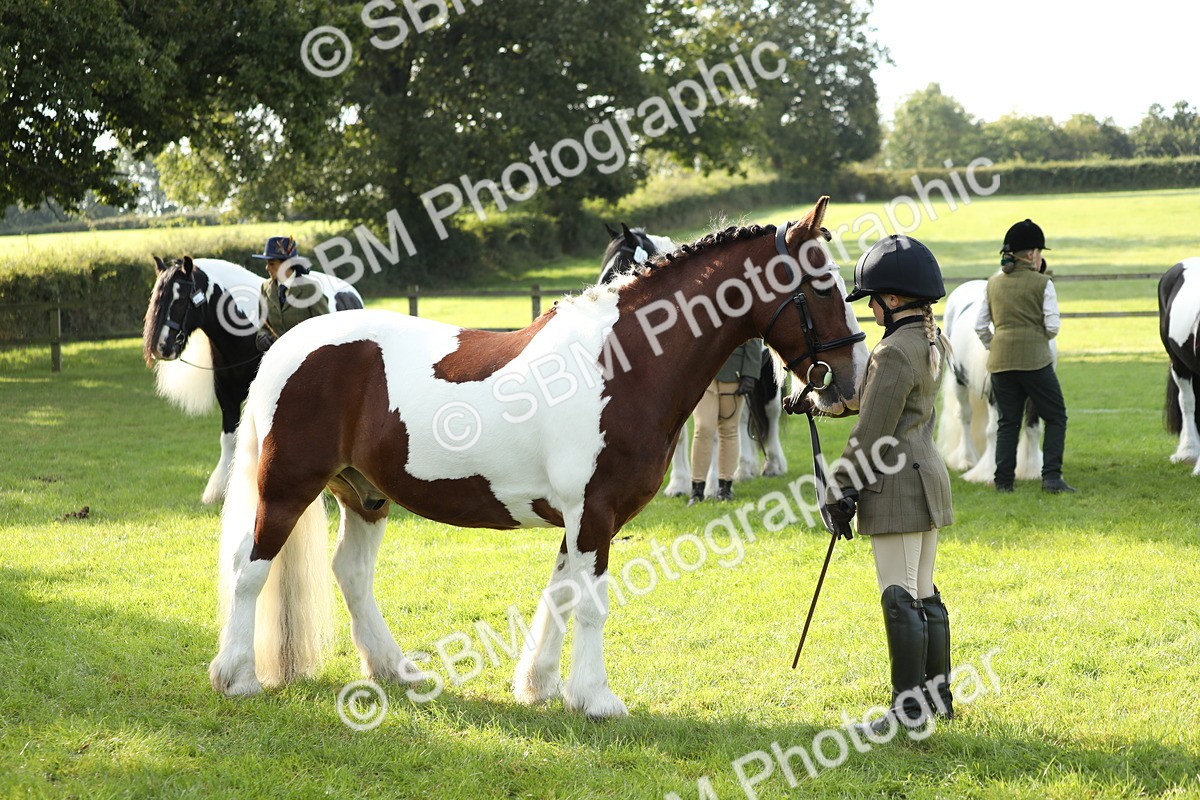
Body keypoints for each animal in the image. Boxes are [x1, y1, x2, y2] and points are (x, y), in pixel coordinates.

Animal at [143, 256, 363, 503]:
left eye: (180, 299)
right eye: (157, 296)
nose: (162, 347)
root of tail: (349, 292)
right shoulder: (226, 398)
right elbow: (228, 439)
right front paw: (218, 490)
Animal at [600, 224, 789, 495]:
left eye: (620, 269)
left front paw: (710, 486)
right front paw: (679, 484)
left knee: (770, 411)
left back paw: (773, 464)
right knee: (743, 418)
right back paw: (745, 468)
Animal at [936, 279, 1049, 483]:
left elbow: (1033, 428)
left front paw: (1032, 469)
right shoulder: (994, 393)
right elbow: (993, 430)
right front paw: (989, 472)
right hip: (960, 383)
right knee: (965, 417)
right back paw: (967, 460)